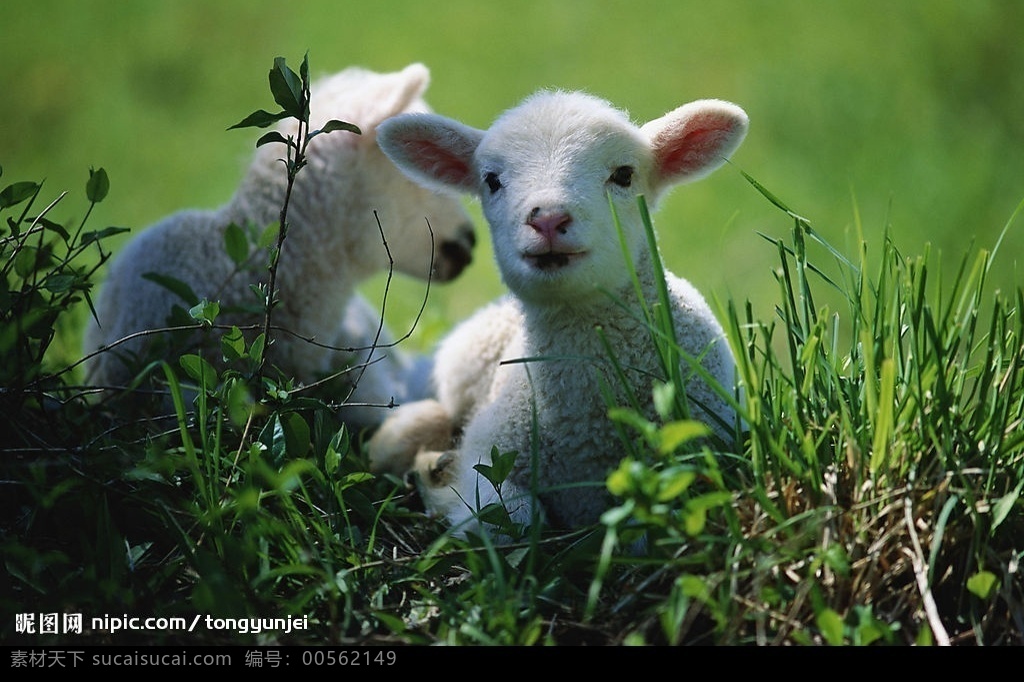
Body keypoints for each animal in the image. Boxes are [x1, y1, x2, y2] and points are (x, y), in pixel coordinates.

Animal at [370, 89, 753, 532]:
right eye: (492, 180)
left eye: (624, 175)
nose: (548, 219)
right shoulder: (489, 450)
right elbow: (513, 518)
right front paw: (444, 484)